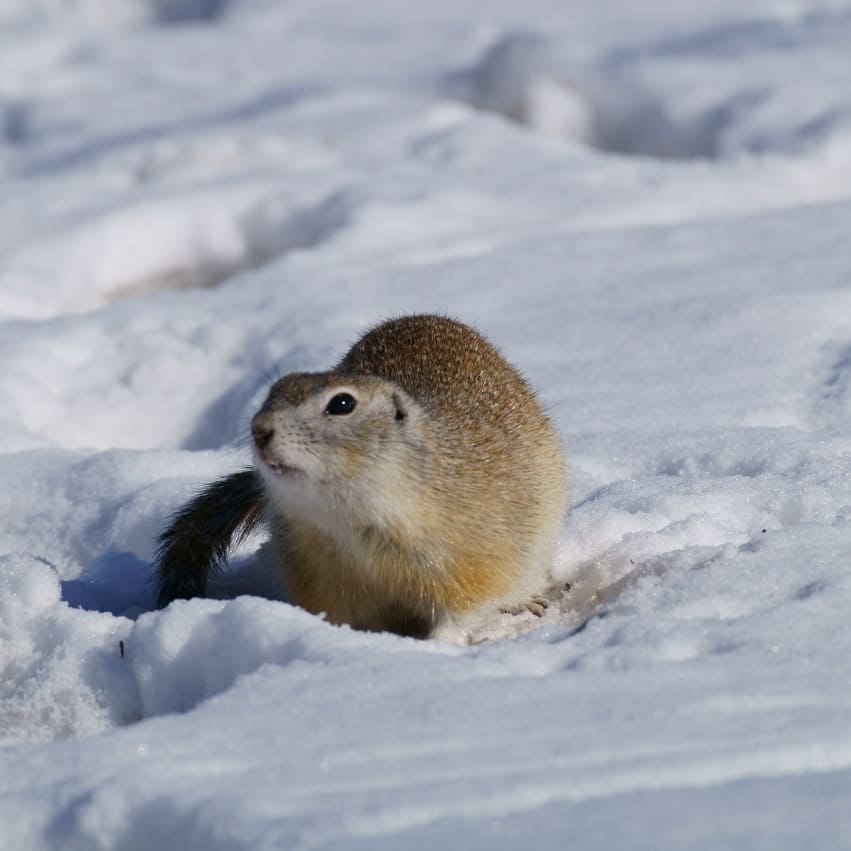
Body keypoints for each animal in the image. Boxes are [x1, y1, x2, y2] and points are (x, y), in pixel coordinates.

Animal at [155, 316, 564, 644]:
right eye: (274, 391)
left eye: (342, 403)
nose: (259, 429)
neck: (354, 518)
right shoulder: (320, 575)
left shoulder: (473, 560)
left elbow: (462, 612)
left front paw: (437, 646)